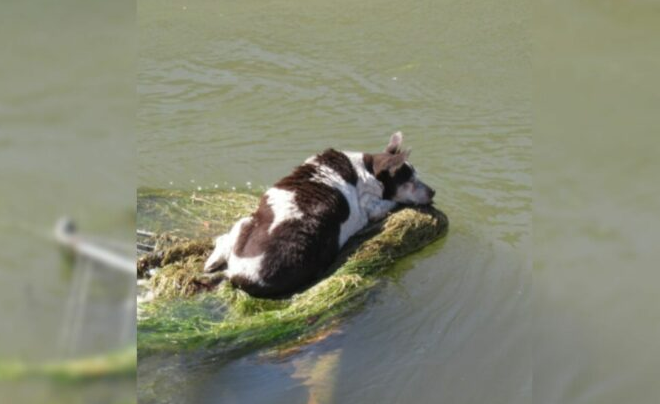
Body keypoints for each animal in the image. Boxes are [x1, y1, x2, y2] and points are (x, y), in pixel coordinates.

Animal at [204, 133, 436, 296]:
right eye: (410, 180)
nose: (433, 192)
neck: (368, 170)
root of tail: (240, 275)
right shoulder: (372, 207)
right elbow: (390, 202)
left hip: (246, 221)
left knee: (224, 239)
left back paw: (211, 262)